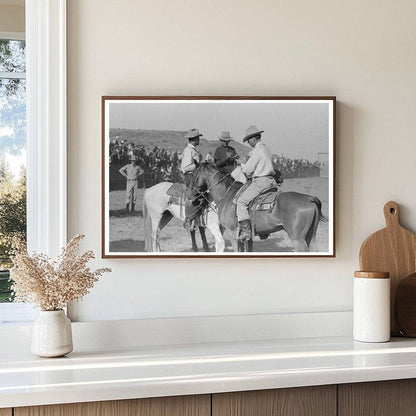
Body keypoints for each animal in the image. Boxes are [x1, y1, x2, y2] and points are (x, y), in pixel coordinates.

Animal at [188, 164, 328, 252]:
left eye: (193, 176)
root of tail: (309, 198)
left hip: (298, 239)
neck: (227, 195)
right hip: (311, 236)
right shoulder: (246, 238)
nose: (191, 195)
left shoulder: (233, 235)